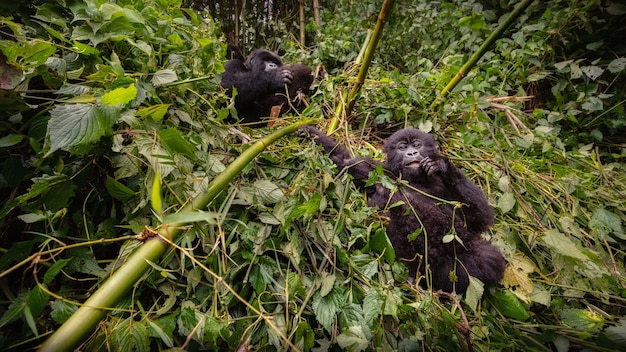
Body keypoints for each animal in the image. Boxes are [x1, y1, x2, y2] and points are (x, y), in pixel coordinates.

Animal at [294, 126, 504, 294]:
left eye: (417, 145)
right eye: (403, 148)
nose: (412, 154)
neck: (412, 179)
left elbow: (477, 219)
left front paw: (442, 164)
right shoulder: (374, 169)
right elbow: (345, 162)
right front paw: (310, 132)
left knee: (487, 258)